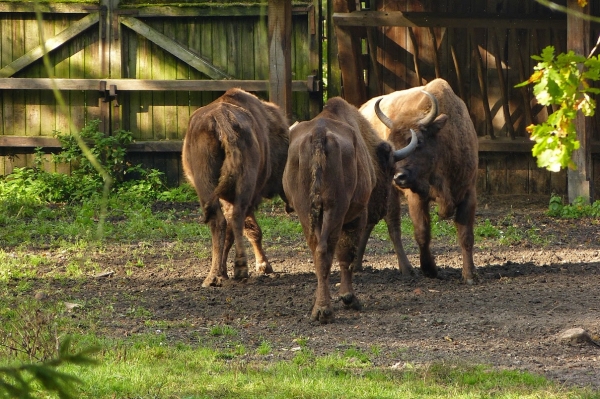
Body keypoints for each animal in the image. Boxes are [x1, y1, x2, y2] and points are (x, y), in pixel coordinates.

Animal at [180, 88, 288, 288]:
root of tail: (221, 120)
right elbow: (249, 230)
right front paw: (263, 266)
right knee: (233, 219)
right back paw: (236, 270)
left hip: (208, 185)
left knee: (221, 221)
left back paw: (216, 276)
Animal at [282, 97, 414, 324]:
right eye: (388, 168)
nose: (383, 206)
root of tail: (319, 135)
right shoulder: (356, 217)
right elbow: (347, 256)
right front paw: (348, 297)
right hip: (336, 211)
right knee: (327, 251)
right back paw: (325, 310)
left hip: (306, 212)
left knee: (317, 251)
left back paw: (319, 307)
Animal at [356, 78, 478, 284]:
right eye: (390, 142)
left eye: (418, 141)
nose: (398, 177)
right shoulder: (416, 197)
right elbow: (422, 232)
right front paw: (429, 270)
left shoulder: (468, 193)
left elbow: (466, 235)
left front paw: (469, 275)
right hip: (389, 195)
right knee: (393, 226)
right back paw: (407, 269)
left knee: (371, 220)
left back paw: (357, 265)